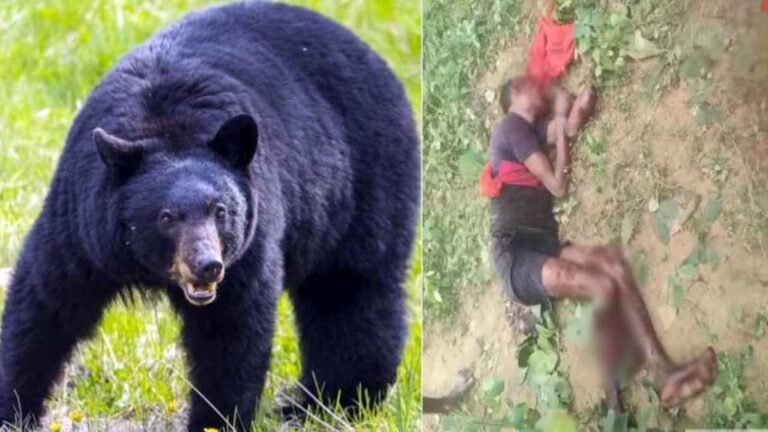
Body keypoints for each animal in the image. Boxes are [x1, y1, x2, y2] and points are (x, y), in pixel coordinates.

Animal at [0, 2, 419, 430]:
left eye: (221, 211)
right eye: (166, 216)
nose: (207, 265)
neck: (164, 127)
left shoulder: (251, 241)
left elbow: (230, 332)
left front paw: (214, 420)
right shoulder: (82, 224)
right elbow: (45, 305)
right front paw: (14, 408)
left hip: (365, 184)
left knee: (350, 293)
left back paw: (333, 402)